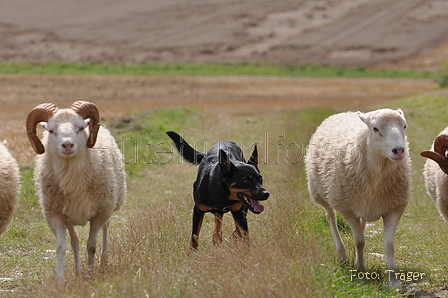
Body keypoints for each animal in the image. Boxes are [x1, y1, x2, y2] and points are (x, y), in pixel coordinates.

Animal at [25, 100, 126, 284]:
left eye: (80, 128)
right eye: (51, 130)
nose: (67, 145)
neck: (71, 175)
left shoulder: (99, 213)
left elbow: (91, 245)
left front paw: (90, 275)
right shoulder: (56, 215)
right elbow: (62, 247)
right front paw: (60, 280)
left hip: (110, 203)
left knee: (106, 229)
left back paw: (103, 262)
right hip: (69, 215)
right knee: (74, 241)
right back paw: (78, 272)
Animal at [304, 107, 410, 284]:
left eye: (404, 126)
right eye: (375, 129)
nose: (399, 151)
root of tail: (344, 112)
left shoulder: (394, 208)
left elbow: (389, 246)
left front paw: (393, 280)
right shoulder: (347, 209)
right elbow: (359, 241)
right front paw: (361, 271)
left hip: (363, 203)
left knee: (362, 225)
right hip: (322, 193)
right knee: (330, 216)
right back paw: (342, 254)